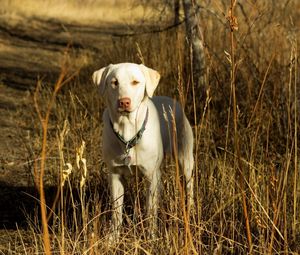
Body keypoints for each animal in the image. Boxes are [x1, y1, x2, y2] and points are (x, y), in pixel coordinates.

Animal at [92, 62, 193, 239]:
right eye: (114, 82)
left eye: (135, 82)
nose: (124, 102)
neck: (127, 132)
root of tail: (173, 101)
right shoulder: (115, 175)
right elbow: (116, 211)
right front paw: (113, 238)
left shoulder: (152, 176)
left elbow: (150, 212)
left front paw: (151, 237)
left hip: (185, 157)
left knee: (189, 184)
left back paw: (192, 209)